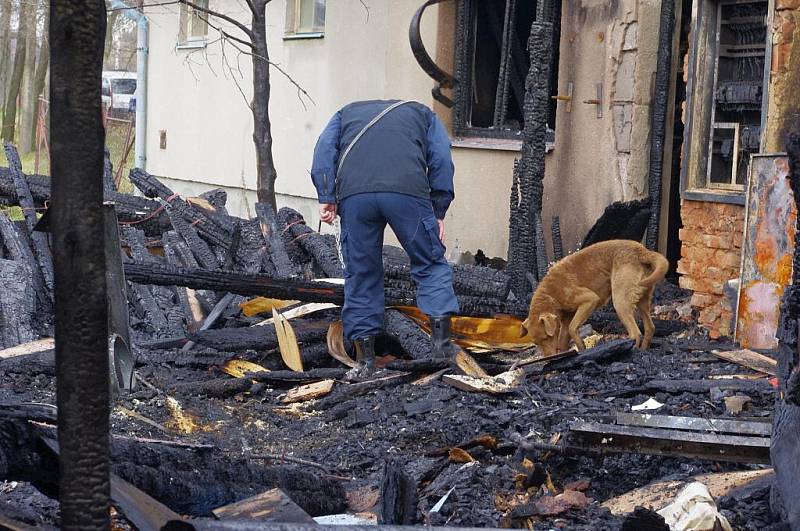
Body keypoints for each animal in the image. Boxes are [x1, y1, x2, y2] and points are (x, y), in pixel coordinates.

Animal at [520, 241, 668, 358]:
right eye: (536, 343)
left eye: (547, 337)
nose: (549, 357)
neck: (550, 294)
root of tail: (641, 250)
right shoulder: (565, 320)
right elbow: (563, 340)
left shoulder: (589, 300)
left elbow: (573, 328)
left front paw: (581, 347)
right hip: (642, 300)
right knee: (650, 328)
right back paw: (643, 350)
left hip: (620, 302)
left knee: (635, 333)